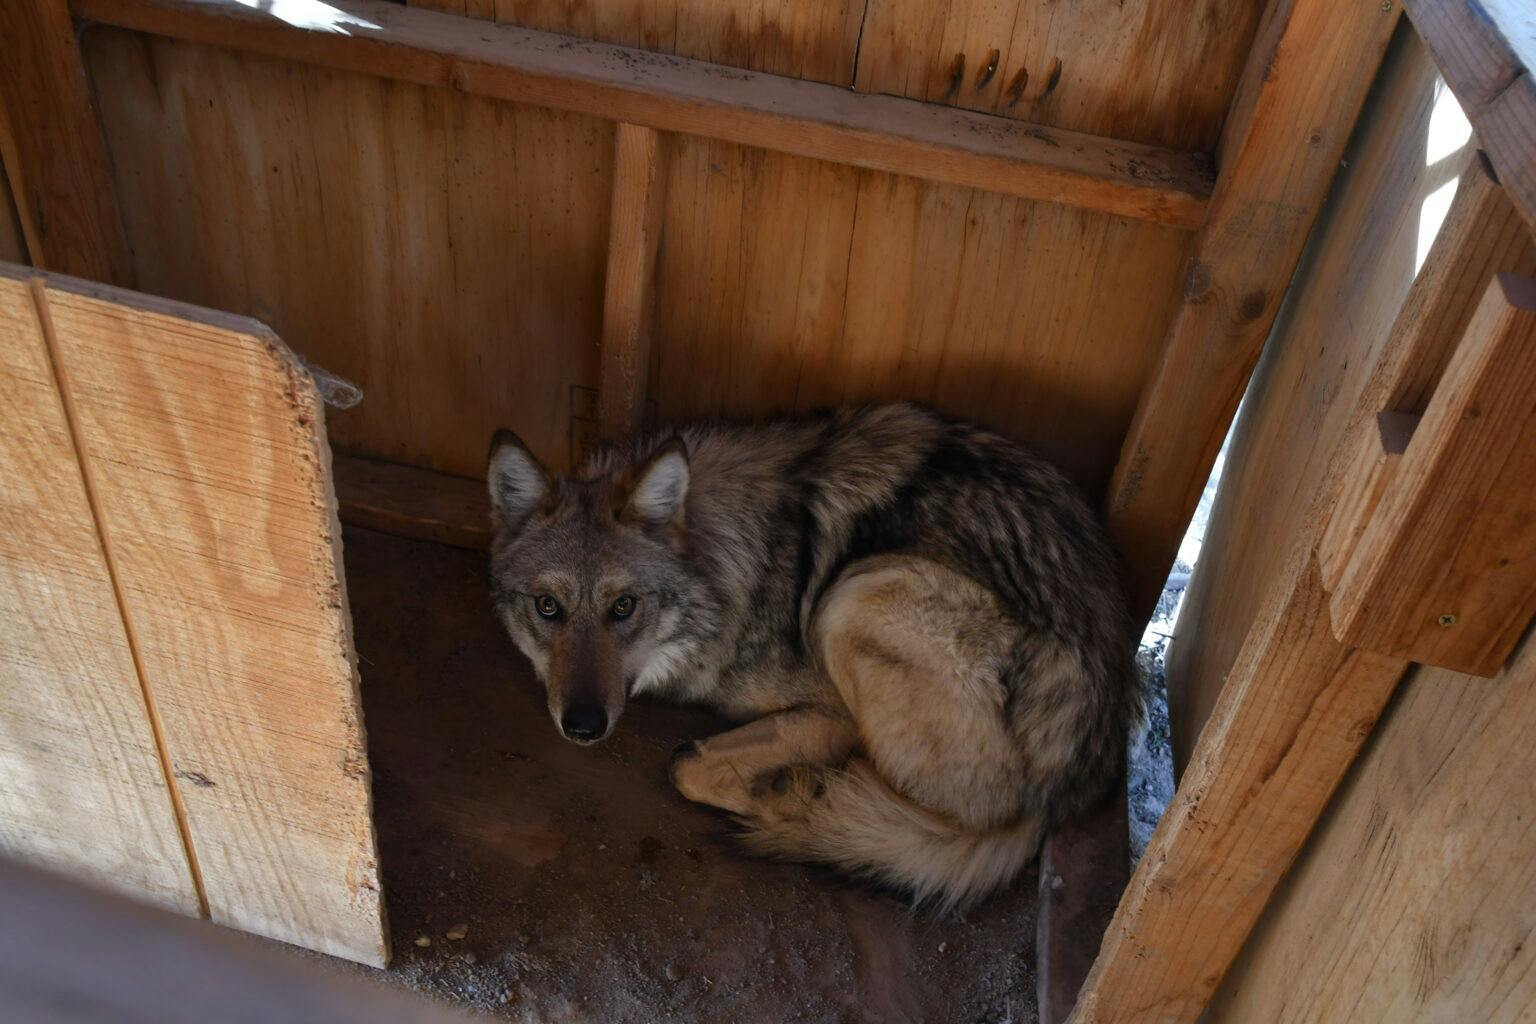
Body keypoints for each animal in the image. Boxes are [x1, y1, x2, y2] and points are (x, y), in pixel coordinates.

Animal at [486, 403, 1141, 910]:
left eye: (623, 607)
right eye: (548, 607)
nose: (583, 725)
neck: (730, 564)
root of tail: (1065, 792)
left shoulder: (834, 711)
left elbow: (686, 766)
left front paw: (773, 783)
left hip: (857, 597)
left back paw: (800, 797)